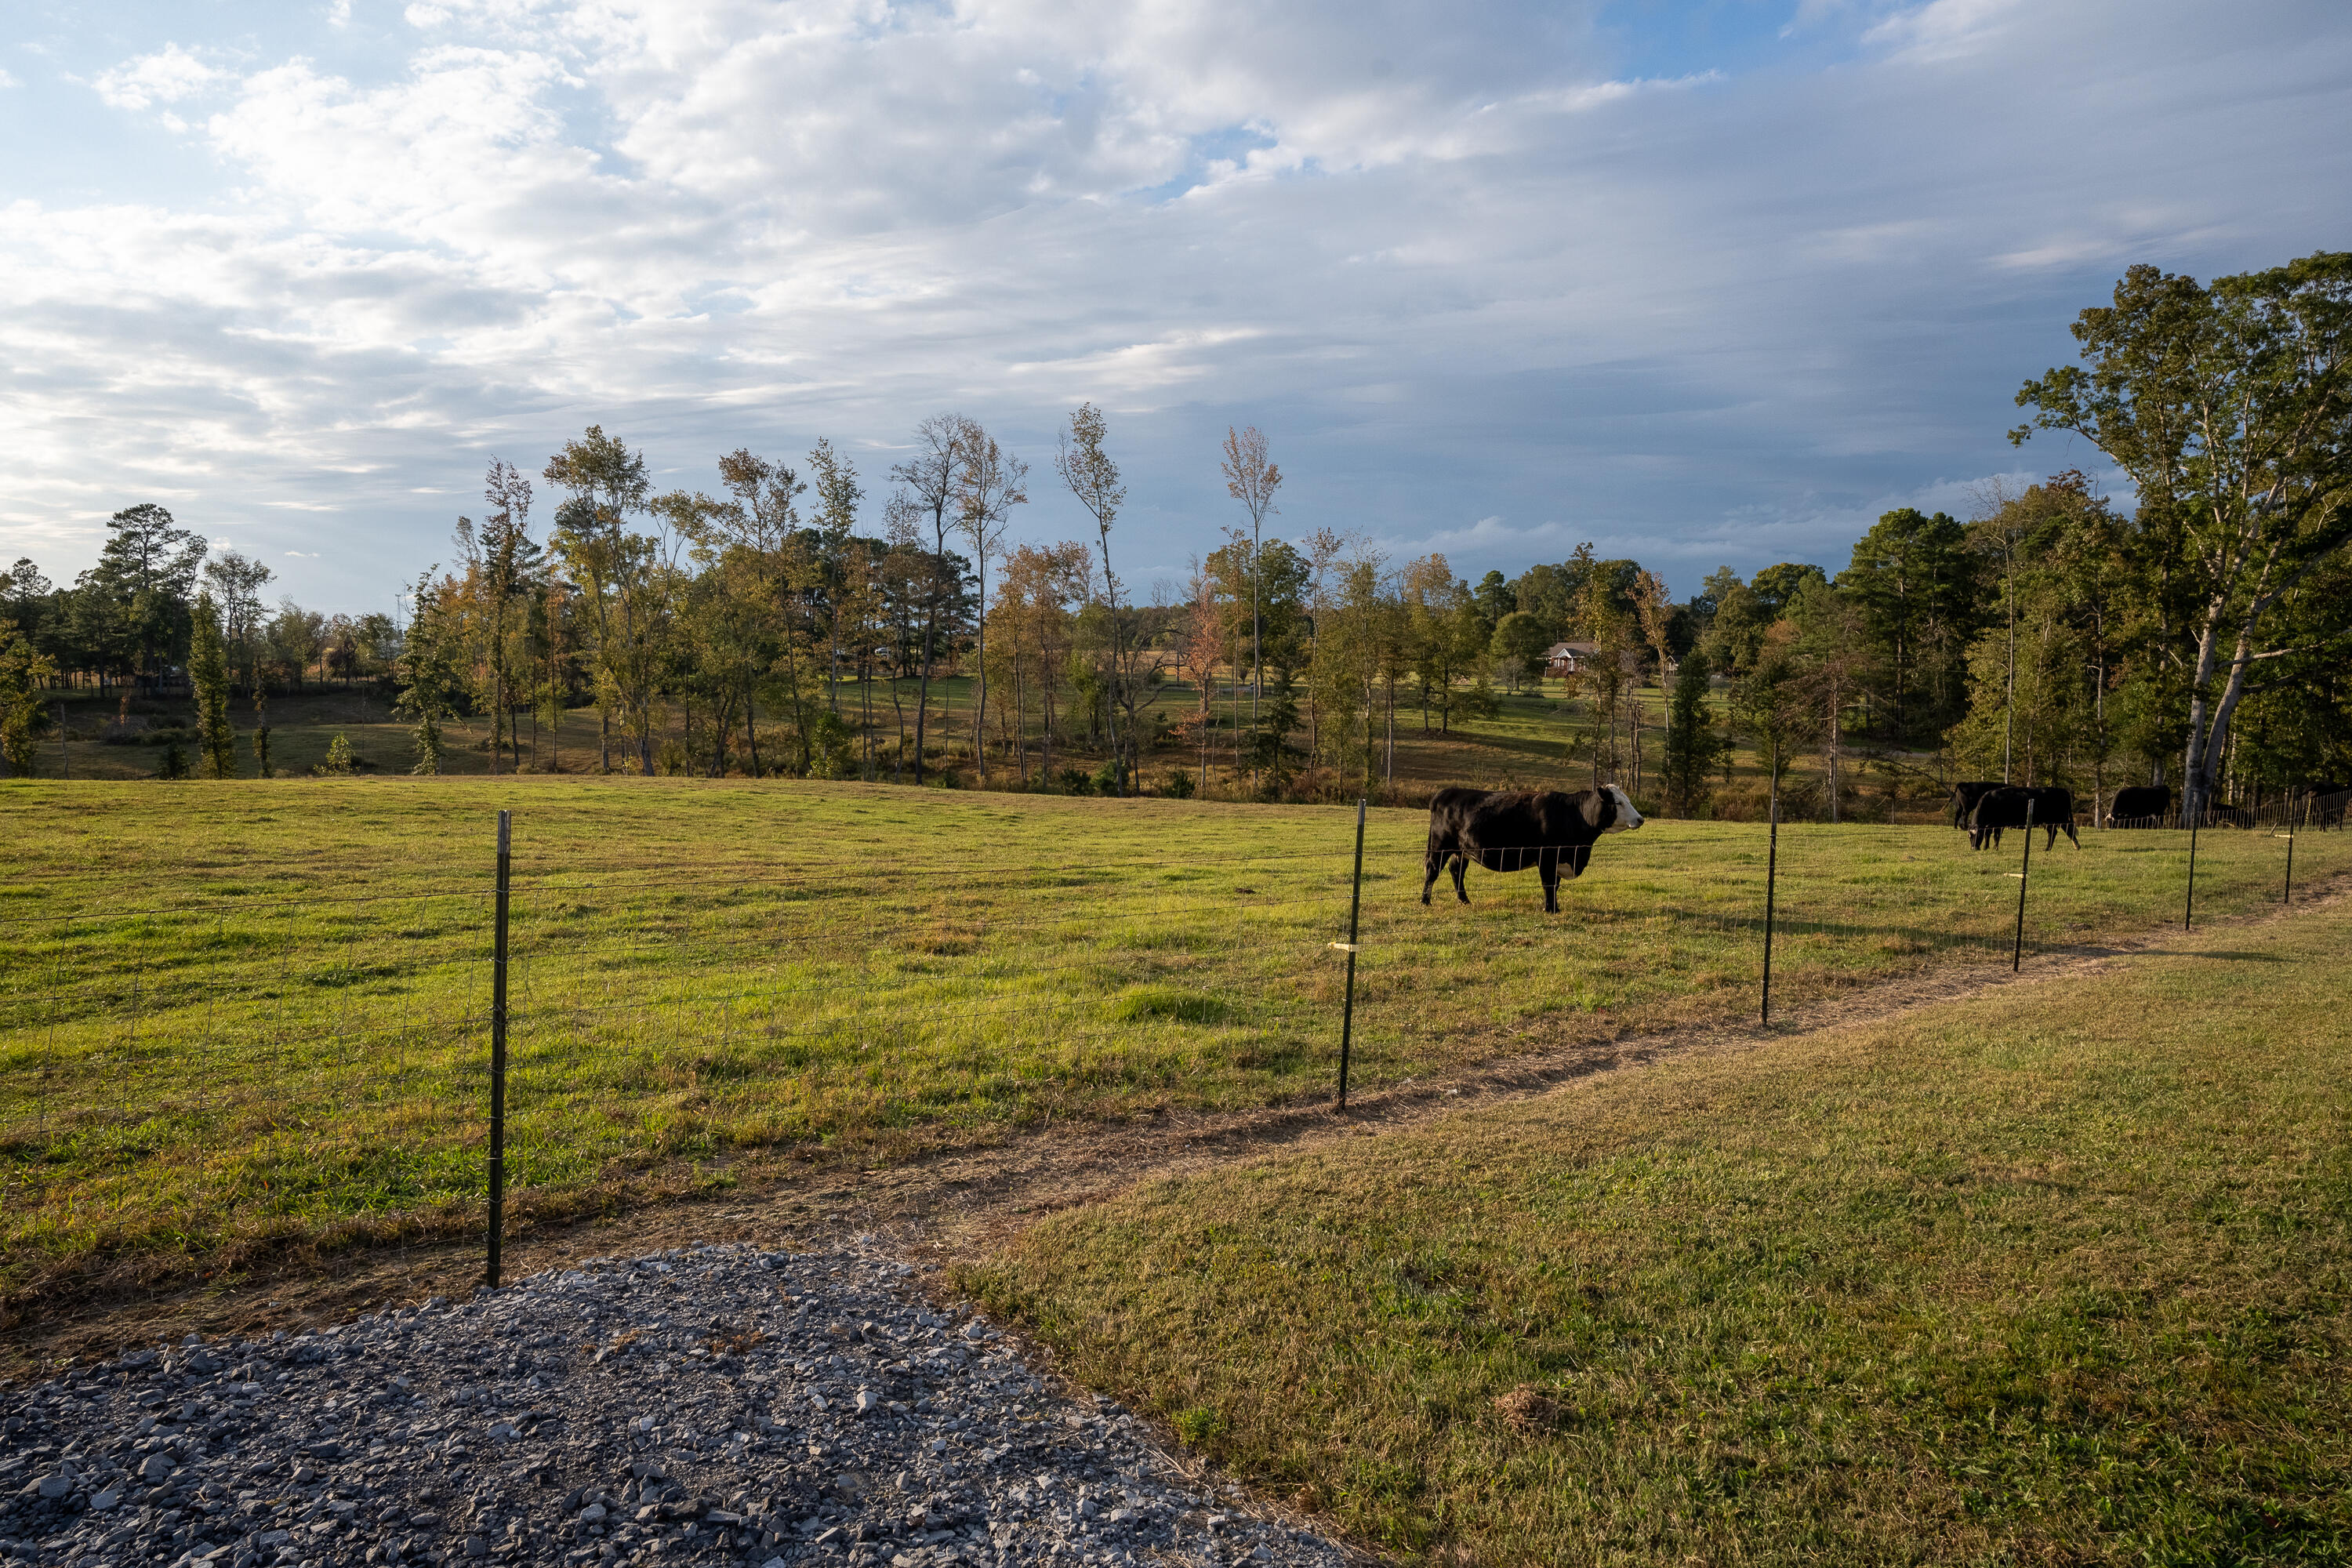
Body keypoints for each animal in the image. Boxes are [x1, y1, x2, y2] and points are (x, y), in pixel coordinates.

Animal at [1421, 789, 1646, 912]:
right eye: (1618, 802)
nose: (1640, 819)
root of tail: (1444, 793)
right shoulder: (1546, 857)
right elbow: (1548, 884)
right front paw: (1550, 909)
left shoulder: (1558, 861)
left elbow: (1555, 885)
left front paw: (1555, 907)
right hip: (1440, 846)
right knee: (1432, 871)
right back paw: (1425, 901)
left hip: (1462, 851)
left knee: (1456, 871)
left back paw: (1465, 901)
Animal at [1966, 789, 2079, 851]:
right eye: (1970, 836)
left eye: (1978, 835)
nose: (1973, 848)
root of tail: (2063, 791)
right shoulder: (1990, 825)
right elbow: (1988, 835)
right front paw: (1986, 847)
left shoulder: (1999, 824)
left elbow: (1996, 836)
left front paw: (1995, 848)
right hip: (2050, 822)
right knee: (2053, 832)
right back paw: (2049, 848)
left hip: (2060, 819)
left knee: (2068, 830)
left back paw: (2076, 846)